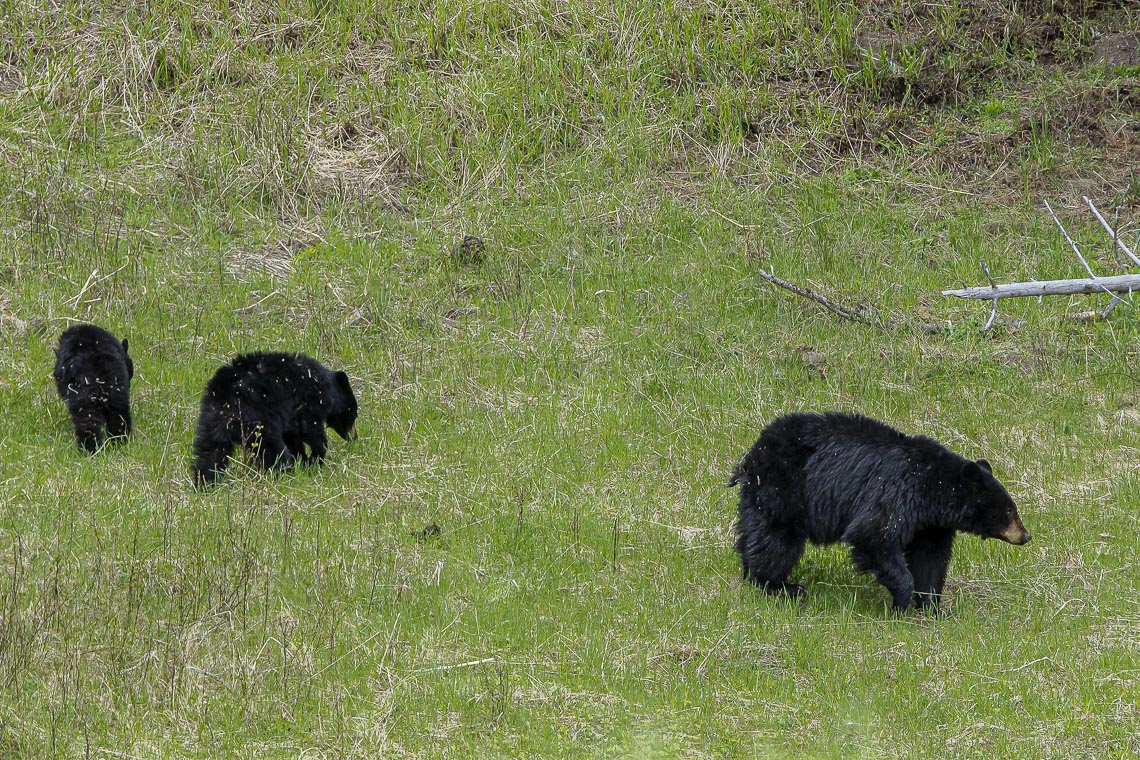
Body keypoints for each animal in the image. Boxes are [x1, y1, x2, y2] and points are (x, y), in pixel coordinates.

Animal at [53, 323, 134, 451]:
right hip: (117, 390)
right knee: (119, 415)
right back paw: (119, 442)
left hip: (83, 397)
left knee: (87, 422)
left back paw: (89, 448)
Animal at [191, 353, 357, 487]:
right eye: (353, 414)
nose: (354, 437)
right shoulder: (309, 400)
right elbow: (309, 429)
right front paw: (315, 459)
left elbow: (293, 437)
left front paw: (304, 461)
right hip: (258, 420)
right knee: (272, 450)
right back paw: (284, 474)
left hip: (212, 420)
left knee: (210, 451)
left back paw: (205, 483)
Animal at [729, 412, 1035, 615]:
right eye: (1010, 510)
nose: (1026, 536)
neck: (931, 486)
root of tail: (753, 454)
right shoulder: (894, 493)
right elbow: (874, 536)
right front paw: (900, 603)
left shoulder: (930, 524)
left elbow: (930, 558)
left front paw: (932, 607)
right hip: (784, 487)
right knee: (778, 539)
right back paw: (778, 585)